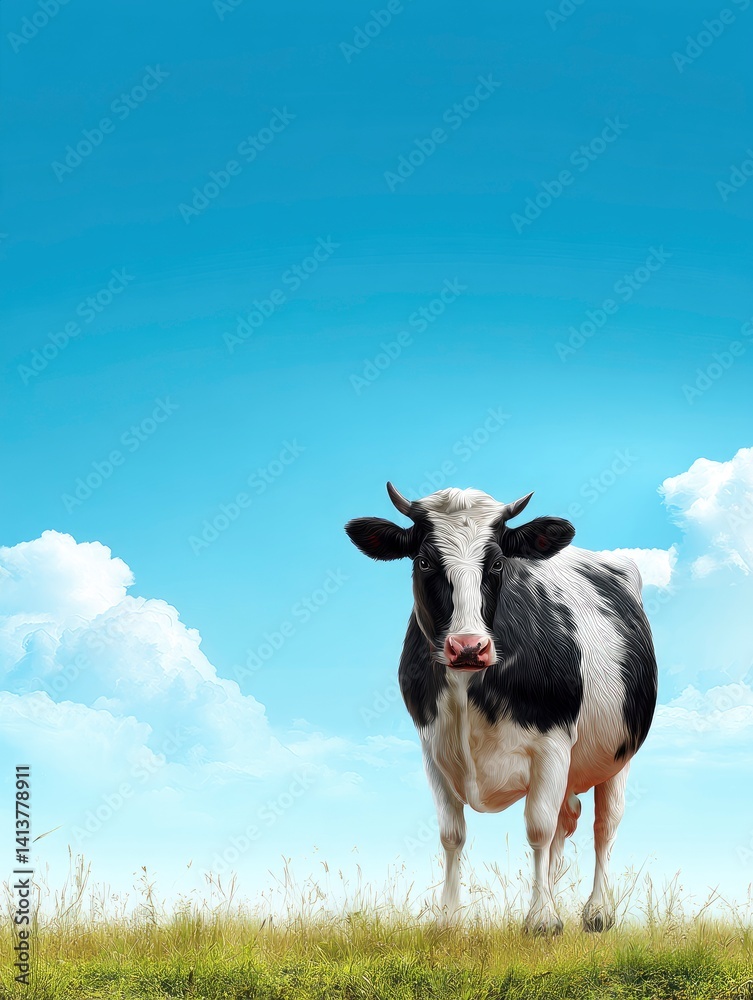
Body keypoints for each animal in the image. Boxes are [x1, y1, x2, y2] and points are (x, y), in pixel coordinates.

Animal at [345, 483, 657, 934]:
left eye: (496, 563)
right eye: (423, 560)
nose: (468, 647)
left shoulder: (551, 744)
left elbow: (538, 827)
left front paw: (541, 920)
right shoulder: (433, 750)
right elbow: (452, 834)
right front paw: (449, 918)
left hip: (617, 755)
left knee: (603, 825)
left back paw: (597, 912)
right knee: (567, 819)